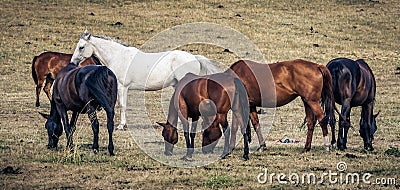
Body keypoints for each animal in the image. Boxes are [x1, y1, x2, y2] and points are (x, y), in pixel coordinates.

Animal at [70, 30, 220, 131]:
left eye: (81, 47)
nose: (73, 62)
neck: (119, 57)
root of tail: (194, 58)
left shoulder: (122, 87)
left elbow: (122, 105)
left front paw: (121, 125)